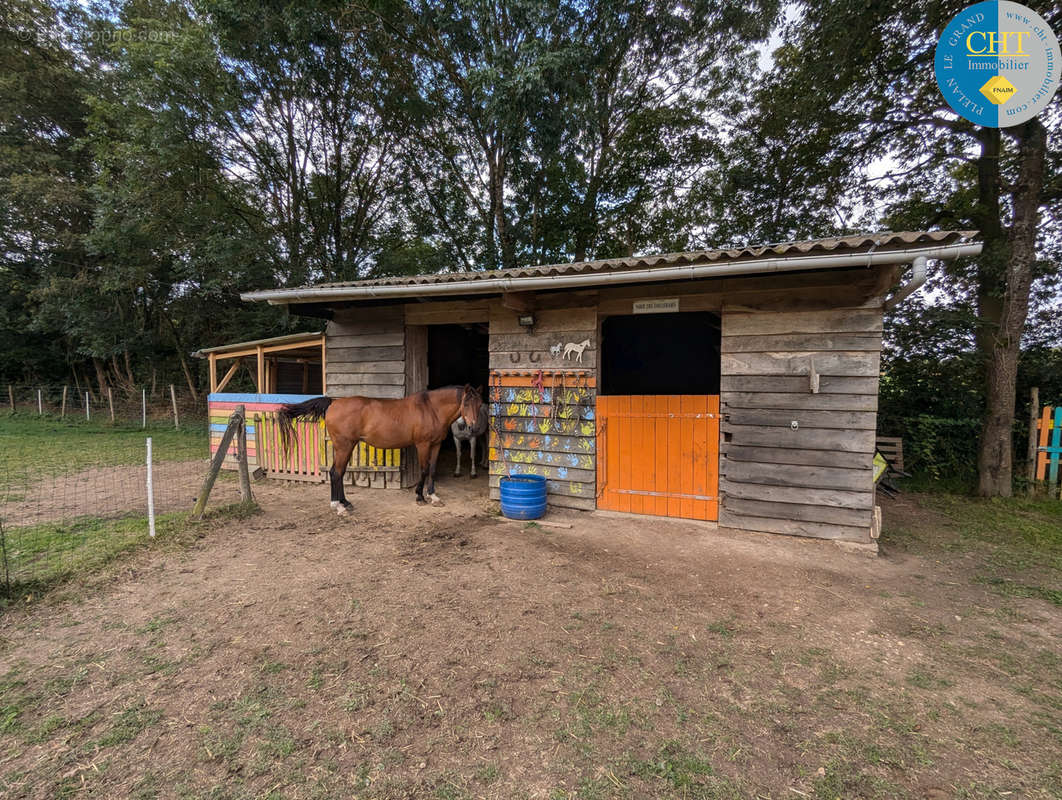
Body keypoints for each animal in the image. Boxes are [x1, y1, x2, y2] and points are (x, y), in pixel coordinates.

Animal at [278, 384, 486, 514]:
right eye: (466, 403)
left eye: (480, 403)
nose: (471, 427)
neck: (431, 409)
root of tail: (334, 403)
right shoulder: (423, 445)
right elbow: (424, 469)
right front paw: (420, 497)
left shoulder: (436, 444)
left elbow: (432, 470)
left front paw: (433, 496)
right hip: (344, 445)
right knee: (336, 473)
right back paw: (339, 507)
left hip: (346, 446)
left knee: (338, 472)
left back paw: (345, 503)